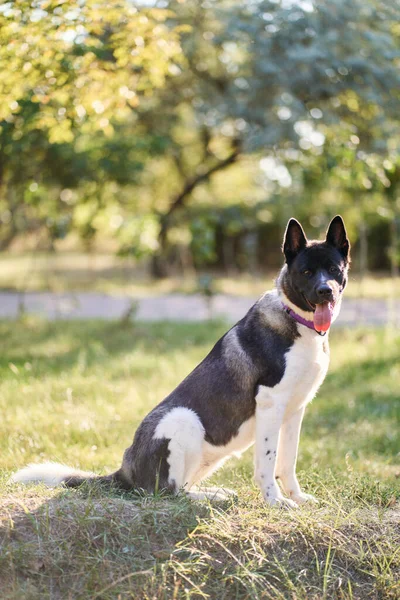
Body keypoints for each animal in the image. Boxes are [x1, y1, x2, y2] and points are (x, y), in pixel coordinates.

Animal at [12, 216, 350, 506]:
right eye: (306, 272)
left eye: (334, 269)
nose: (325, 291)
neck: (297, 320)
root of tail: (125, 469)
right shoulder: (270, 403)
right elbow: (267, 463)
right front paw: (275, 502)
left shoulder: (295, 410)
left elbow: (287, 461)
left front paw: (296, 498)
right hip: (183, 419)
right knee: (168, 492)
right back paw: (210, 498)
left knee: (182, 487)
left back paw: (215, 493)